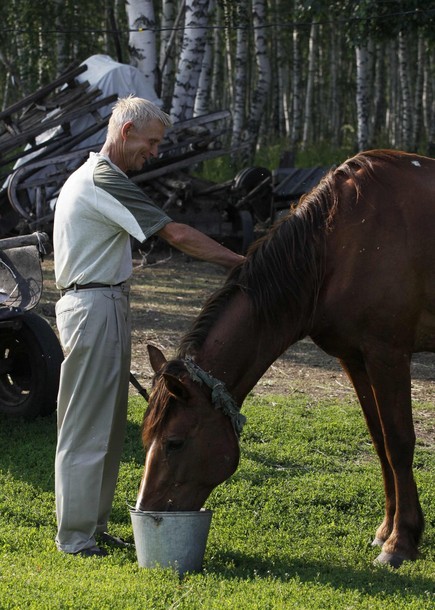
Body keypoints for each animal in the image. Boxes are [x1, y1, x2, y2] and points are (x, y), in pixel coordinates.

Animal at [136, 151, 435, 564]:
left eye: (174, 442)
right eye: (145, 437)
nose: (148, 510)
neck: (339, 246)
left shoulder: (388, 355)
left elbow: (399, 443)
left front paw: (401, 542)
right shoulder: (355, 358)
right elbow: (379, 443)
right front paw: (386, 531)